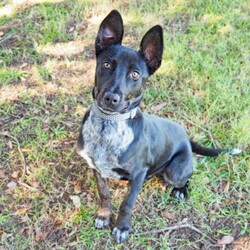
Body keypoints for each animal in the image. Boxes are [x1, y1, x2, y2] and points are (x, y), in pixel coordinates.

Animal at [76, 10, 240, 244]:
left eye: (135, 74)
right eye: (106, 65)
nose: (111, 98)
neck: (107, 128)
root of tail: (186, 138)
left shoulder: (137, 174)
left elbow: (127, 204)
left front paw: (122, 227)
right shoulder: (96, 168)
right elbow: (104, 194)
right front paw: (104, 215)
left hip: (175, 171)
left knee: (187, 176)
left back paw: (181, 191)